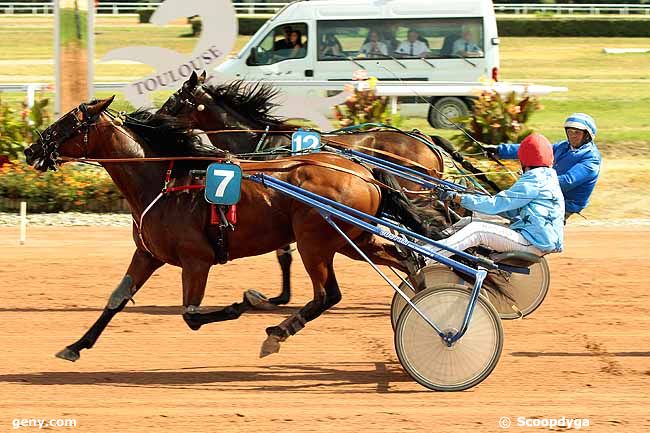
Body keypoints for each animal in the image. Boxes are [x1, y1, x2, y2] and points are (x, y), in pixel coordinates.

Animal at [25, 98, 440, 362]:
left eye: (68, 123)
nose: (31, 150)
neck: (163, 179)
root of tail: (364, 170)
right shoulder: (147, 254)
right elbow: (116, 299)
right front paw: (76, 345)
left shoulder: (197, 260)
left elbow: (192, 314)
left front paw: (246, 302)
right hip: (354, 239)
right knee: (405, 259)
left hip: (316, 241)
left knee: (328, 295)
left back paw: (276, 334)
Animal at [159, 72, 448, 306]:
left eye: (175, 98)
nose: (155, 116)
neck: (262, 142)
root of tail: (425, 139)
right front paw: (281, 295)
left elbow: (283, 255)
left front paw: (278, 297)